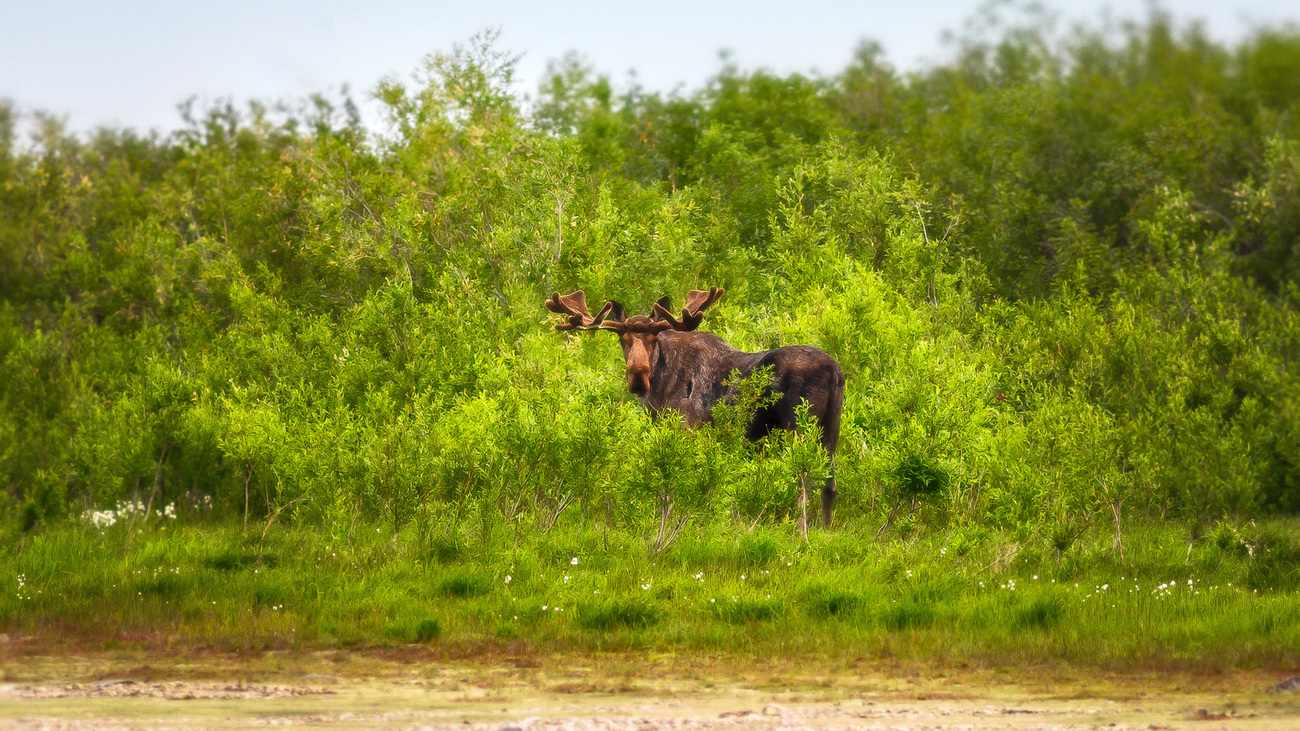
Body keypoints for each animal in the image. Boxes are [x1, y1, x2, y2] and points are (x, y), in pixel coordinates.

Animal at [543, 284, 847, 522]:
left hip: (799, 426)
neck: (660, 384)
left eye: (654, 338)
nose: (638, 376)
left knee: (804, 479)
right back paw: (824, 531)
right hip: (831, 426)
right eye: (623, 338)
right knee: (829, 484)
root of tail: (834, 370)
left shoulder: (687, 428)